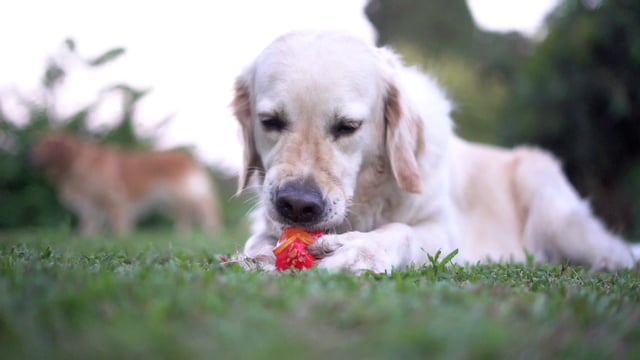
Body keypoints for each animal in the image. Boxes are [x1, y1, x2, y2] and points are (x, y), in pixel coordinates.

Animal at [31, 131, 221, 235]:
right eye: (37, 145)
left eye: (45, 147)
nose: (29, 158)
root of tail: (188, 158)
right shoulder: (93, 205)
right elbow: (89, 227)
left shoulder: (114, 199)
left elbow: (119, 226)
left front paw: (122, 238)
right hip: (169, 200)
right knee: (185, 215)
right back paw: (183, 234)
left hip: (185, 193)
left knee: (207, 207)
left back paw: (211, 232)